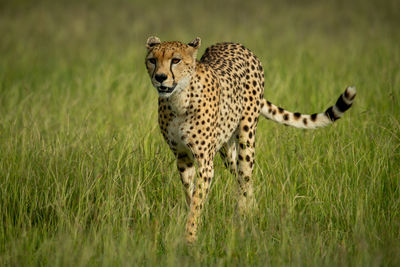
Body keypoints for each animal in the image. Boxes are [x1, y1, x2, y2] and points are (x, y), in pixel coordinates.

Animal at [145, 35, 358, 243]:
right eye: (152, 60)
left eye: (176, 60)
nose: (160, 78)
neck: (179, 100)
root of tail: (235, 44)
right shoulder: (182, 157)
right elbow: (191, 195)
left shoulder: (204, 161)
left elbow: (197, 200)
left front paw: (190, 238)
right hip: (227, 150)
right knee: (240, 178)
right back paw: (252, 212)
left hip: (246, 138)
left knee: (245, 178)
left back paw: (243, 220)